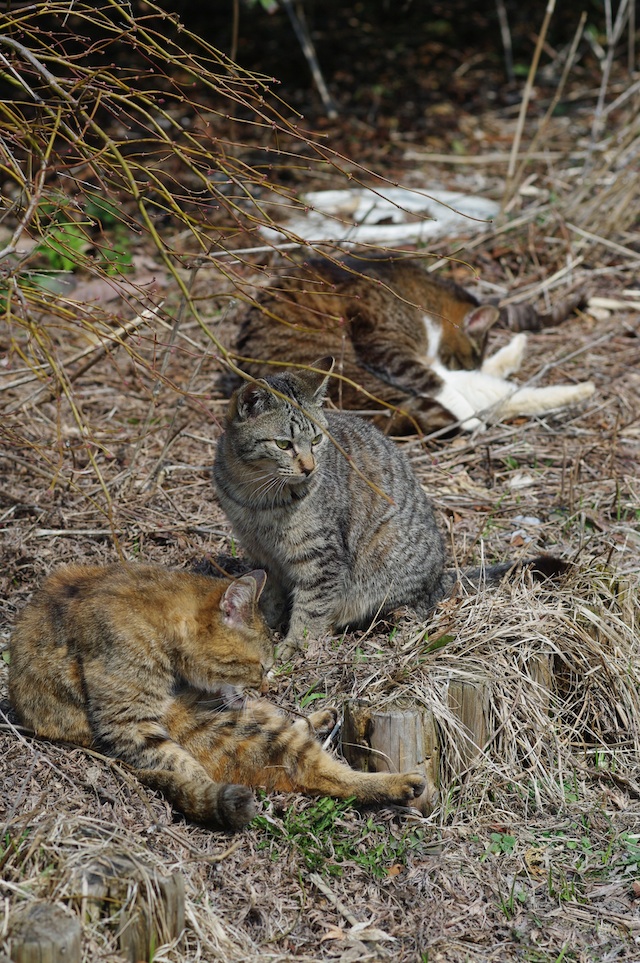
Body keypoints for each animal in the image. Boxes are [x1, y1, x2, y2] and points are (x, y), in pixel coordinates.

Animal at [8, 564, 424, 828]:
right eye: (261, 666)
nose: (267, 686)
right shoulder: (127, 723)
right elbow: (185, 767)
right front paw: (205, 788)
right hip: (236, 725)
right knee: (324, 774)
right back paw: (398, 783)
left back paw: (323, 719)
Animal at [212, 358, 564, 660]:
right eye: (283, 445)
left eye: (316, 440)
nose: (310, 468)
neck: (256, 495)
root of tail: (439, 576)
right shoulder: (260, 551)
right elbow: (268, 592)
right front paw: (263, 622)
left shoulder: (322, 559)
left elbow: (311, 607)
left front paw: (297, 644)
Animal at [228, 252, 592, 434]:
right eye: (463, 356)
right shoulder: (385, 349)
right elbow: (441, 384)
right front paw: (468, 416)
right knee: (486, 394)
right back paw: (576, 390)